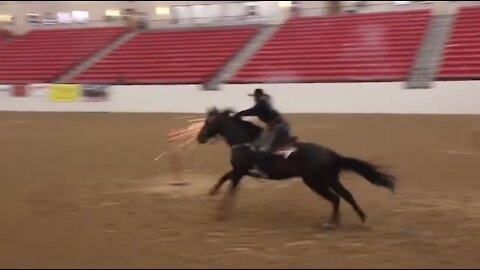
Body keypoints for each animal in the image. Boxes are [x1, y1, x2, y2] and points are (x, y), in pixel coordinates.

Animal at [197, 107, 396, 228]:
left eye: (208, 122)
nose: (200, 137)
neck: (245, 141)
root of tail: (332, 154)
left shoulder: (240, 171)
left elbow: (230, 187)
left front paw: (221, 213)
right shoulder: (240, 170)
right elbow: (224, 178)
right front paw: (212, 192)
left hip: (315, 182)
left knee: (335, 198)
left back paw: (331, 223)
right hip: (330, 179)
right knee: (346, 196)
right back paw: (359, 219)